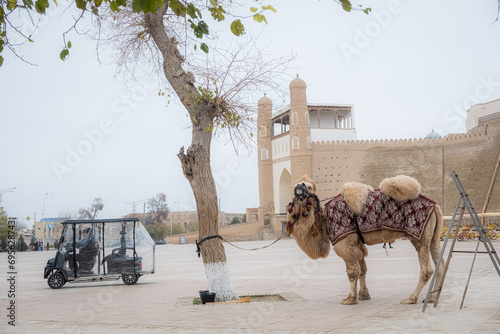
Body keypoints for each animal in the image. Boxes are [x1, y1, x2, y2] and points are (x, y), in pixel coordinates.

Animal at [288, 175, 444, 306]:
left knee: (427, 269)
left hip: (419, 237)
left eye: (309, 187)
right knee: (440, 266)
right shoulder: (357, 242)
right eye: (296, 186)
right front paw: (363, 295)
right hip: (434, 237)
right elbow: (362, 268)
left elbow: (352, 272)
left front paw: (350, 299)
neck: (325, 220)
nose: (300, 187)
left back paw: (411, 298)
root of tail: (435, 206)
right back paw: (432, 298)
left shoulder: (345, 242)